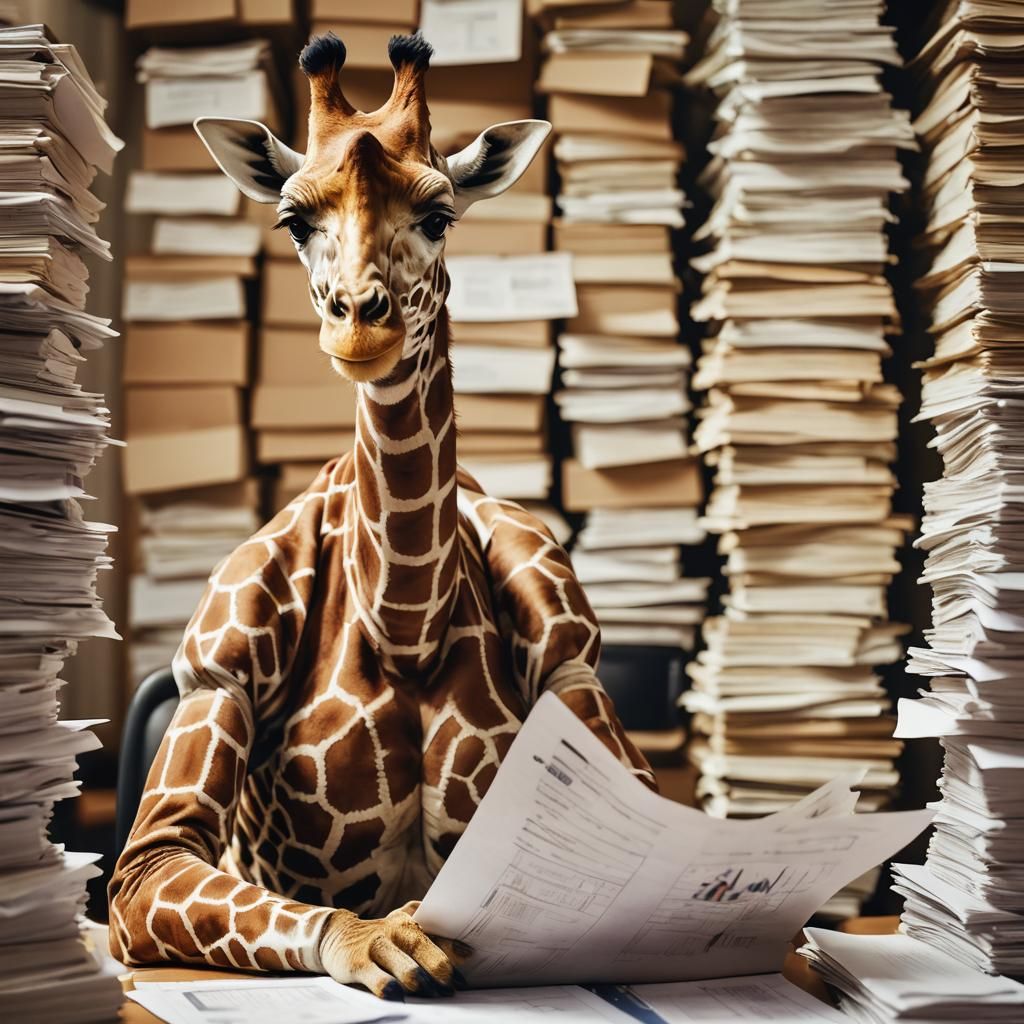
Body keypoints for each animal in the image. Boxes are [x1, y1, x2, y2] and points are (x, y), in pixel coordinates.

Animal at [108, 33, 655, 1001]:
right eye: (294, 221)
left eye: (438, 214)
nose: (359, 324)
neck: (402, 619)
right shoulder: (213, 666)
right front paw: (377, 939)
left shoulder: (573, 654)